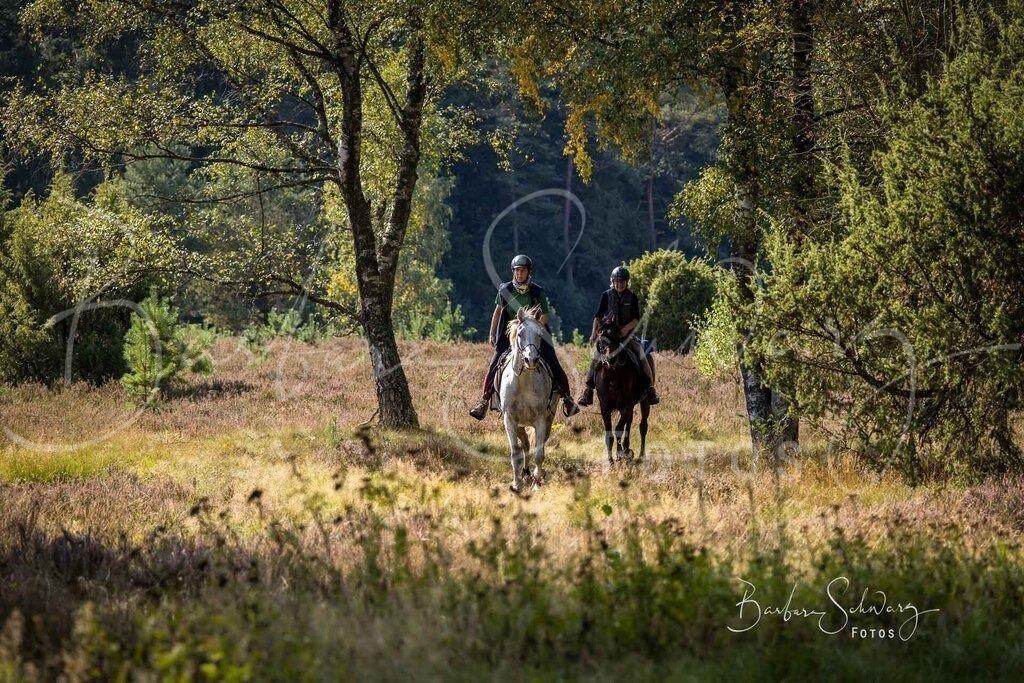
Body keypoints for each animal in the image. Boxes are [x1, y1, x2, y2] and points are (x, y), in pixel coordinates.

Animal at [497, 306, 560, 492]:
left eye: (540, 335)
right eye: (519, 334)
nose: (530, 360)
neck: (524, 382)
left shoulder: (540, 420)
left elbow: (539, 454)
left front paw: (537, 483)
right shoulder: (509, 419)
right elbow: (515, 452)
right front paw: (516, 484)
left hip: (548, 419)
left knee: (540, 445)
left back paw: (537, 474)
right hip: (519, 424)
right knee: (524, 445)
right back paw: (524, 472)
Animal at [592, 316, 651, 464]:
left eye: (616, 338)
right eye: (601, 341)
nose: (610, 359)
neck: (613, 375)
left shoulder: (626, 406)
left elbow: (618, 429)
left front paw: (619, 455)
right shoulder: (605, 407)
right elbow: (610, 433)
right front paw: (611, 460)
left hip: (645, 402)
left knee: (643, 426)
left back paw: (640, 455)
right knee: (629, 424)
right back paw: (627, 449)